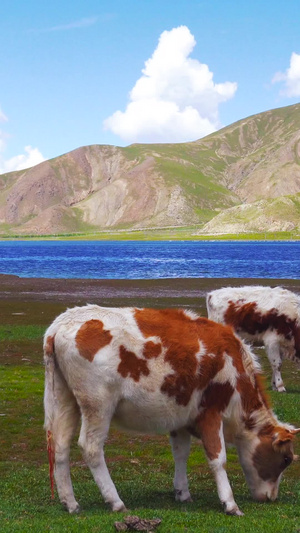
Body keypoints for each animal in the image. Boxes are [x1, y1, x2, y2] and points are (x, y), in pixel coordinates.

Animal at [43, 306, 298, 512]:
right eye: (286, 459)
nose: (271, 497)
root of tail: (60, 324)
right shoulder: (211, 413)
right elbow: (218, 459)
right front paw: (230, 503)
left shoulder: (181, 418)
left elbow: (181, 454)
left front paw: (182, 492)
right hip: (98, 405)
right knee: (91, 448)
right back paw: (115, 501)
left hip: (65, 400)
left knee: (61, 447)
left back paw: (71, 503)